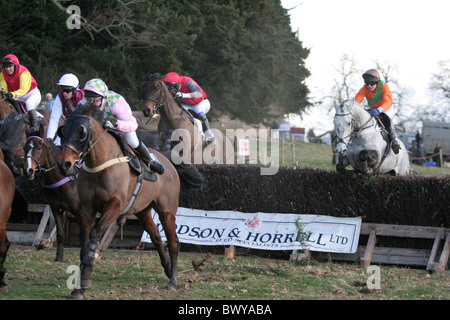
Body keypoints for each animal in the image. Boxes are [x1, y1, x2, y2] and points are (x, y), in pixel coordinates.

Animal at [23, 124, 80, 262]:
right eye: (24, 147)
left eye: (39, 147)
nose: (28, 171)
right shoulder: (57, 208)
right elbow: (60, 233)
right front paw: (59, 257)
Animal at [56, 103, 192, 300]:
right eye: (62, 130)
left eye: (81, 131)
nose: (64, 164)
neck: (99, 164)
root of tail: (168, 162)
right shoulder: (86, 210)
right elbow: (84, 243)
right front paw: (79, 287)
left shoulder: (115, 205)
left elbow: (95, 234)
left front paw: (86, 277)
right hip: (143, 212)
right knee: (157, 237)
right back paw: (167, 268)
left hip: (167, 211)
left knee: (173, 241)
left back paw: (172, 280)